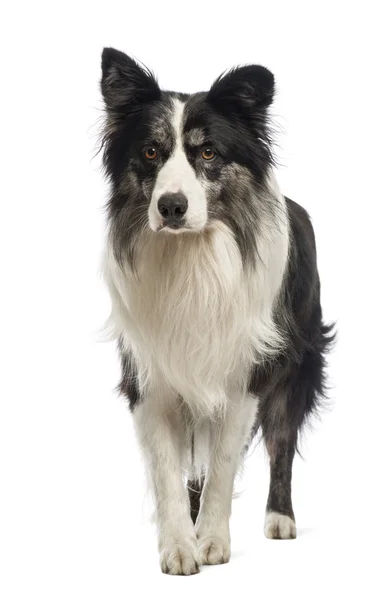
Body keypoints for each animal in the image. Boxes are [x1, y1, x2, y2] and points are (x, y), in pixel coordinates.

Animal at [99, 49, 334, 576]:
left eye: (207, 153)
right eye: (151, 152)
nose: (171, 206)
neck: (191, 256)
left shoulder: (244, 374)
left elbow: (225, 464)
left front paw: (211, 541)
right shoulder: (150, 375)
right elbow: (169, 470)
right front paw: (179, 546)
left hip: (298, 363)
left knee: (281, 443)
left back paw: (280, 519)